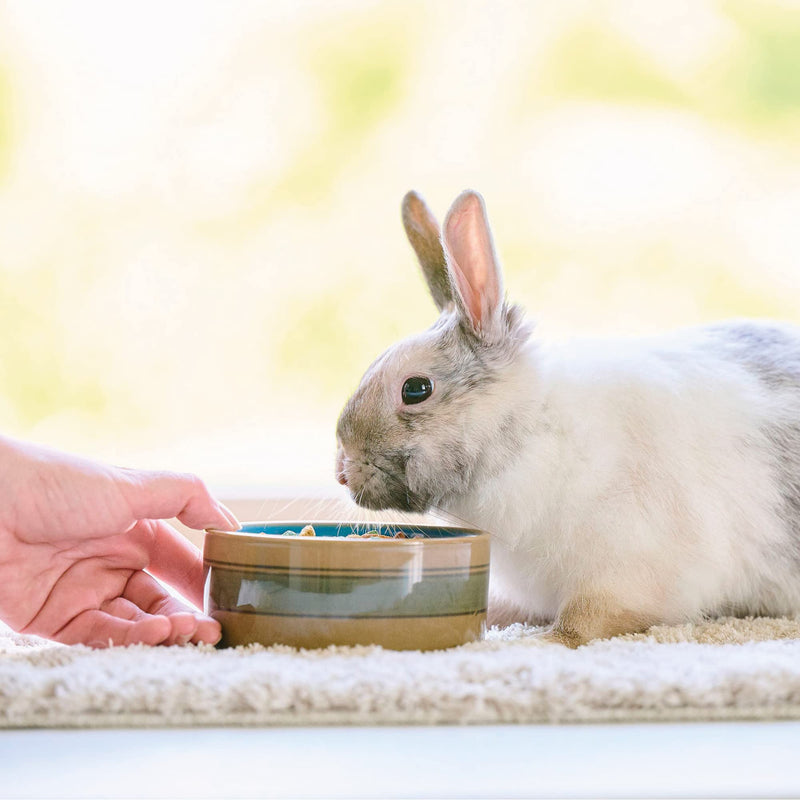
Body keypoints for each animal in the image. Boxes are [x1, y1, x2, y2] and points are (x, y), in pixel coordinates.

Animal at [335, 188, 800, 647]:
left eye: (416, 389)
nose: (342, 472)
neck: (527, 435)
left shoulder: (625, 571)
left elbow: (584, 619)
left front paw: (539, 642)